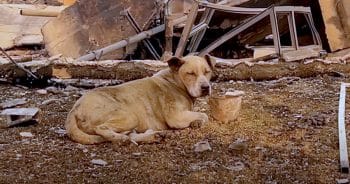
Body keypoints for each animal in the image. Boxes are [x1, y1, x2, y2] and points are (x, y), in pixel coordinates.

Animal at [64, 55, 215, 144]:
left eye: (207, 72)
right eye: (191, 74)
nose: (205, 88)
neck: (175, 81)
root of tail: (75, 108)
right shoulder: (176, 117)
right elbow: (204, 115)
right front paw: (197, 122)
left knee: (131, 135)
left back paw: (153, 136)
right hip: (129, 117)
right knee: (102, 129)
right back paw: (121, 138)